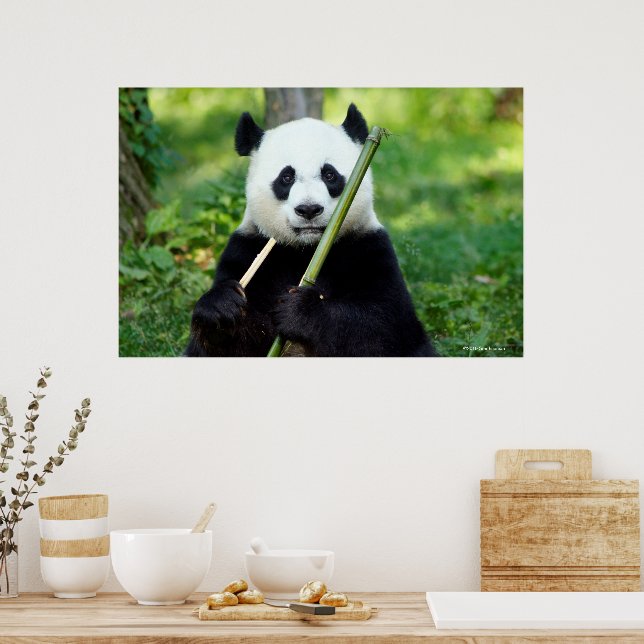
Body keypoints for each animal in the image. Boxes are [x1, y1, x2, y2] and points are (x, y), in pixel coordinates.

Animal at [185, 104, 437, 357]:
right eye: (286, 177)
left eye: (329, 174)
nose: (309, 209)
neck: (307, 250)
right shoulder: (248, 248)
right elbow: (232, 345)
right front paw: (221, 308)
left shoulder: (367, 247)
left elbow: (384, 325)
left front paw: (300, 310)